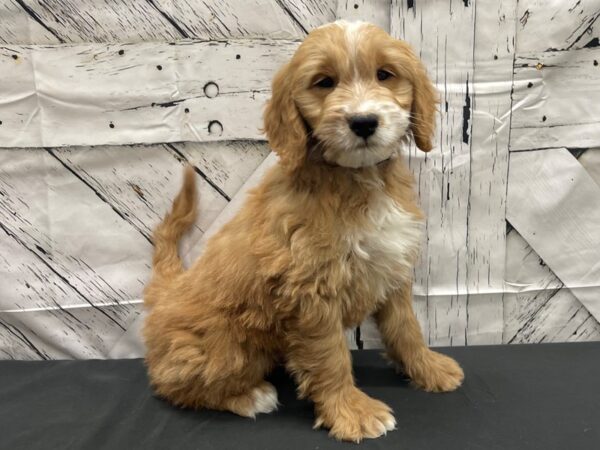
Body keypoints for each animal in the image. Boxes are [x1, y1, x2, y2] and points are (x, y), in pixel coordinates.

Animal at [144, 20, 464, 442]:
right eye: (324, 82)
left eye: (385, 74)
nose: (363, 122)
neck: (358, 180)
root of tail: (166, 293)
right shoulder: (311, 292)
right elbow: (331, 358)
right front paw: (352, 412)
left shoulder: (391, 269)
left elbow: (406, 328)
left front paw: (428, 369)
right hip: (224, 347)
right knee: (173, 382)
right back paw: (248, 397)